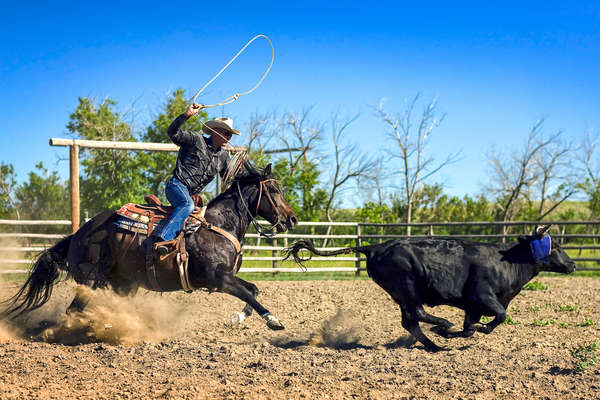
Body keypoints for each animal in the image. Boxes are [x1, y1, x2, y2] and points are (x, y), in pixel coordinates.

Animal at [1, 162, 298, 332]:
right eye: (274, 190)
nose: (292, 219)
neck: (217, 225)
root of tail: (77, 235)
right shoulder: (219, 278)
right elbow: (250, 294)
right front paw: (274, 320)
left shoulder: (225, 278)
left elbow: (254, 290)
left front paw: (237, 318)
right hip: (91, 281)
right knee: (73, 311)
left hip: (123, 284)